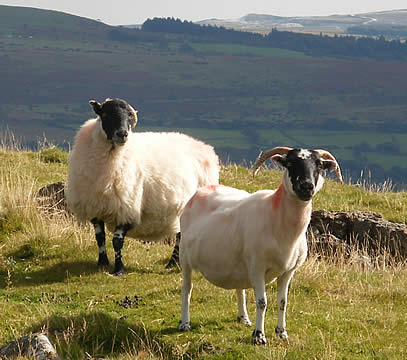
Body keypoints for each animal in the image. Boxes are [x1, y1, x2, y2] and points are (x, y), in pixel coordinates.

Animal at [66, 98, 220, 276]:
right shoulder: (95, 207)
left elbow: (117, 241)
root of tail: (205, 147)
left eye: (129, 116)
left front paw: (119, 270)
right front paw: (102, 263)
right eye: (105, 114)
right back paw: (173, 263)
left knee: (181, 236)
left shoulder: (127, 207)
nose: (122, 134)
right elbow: (100, 237)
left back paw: (174, 263)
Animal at [180, 147, 342, 346]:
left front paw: (281, 332)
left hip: (237, 264)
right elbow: (262, 302)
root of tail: (202, 190)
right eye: (290, 163)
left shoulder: (288, 271)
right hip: (184, 257)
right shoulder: (257, 268)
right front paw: (259, 336)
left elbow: (283, 302)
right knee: (187, 289)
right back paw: (184, 323)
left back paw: (243, 318)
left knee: (239, 288)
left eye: (319, 165)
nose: (306, 187)